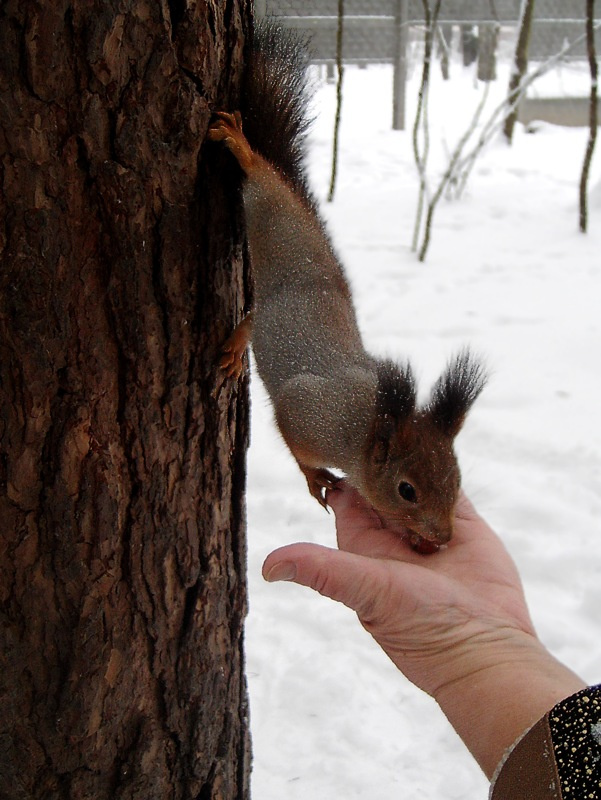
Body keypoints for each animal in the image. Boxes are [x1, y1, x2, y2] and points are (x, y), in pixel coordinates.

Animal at [208, 20, 486, 553]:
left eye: (458, 479)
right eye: (406, 490)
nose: (442, 539)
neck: (365, 428)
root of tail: (309, 269)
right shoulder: (309, 416)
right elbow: (295, 443)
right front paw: (314, 478)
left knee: (253, 314)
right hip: (273, 216)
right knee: (262, 180)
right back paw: (242, 146)